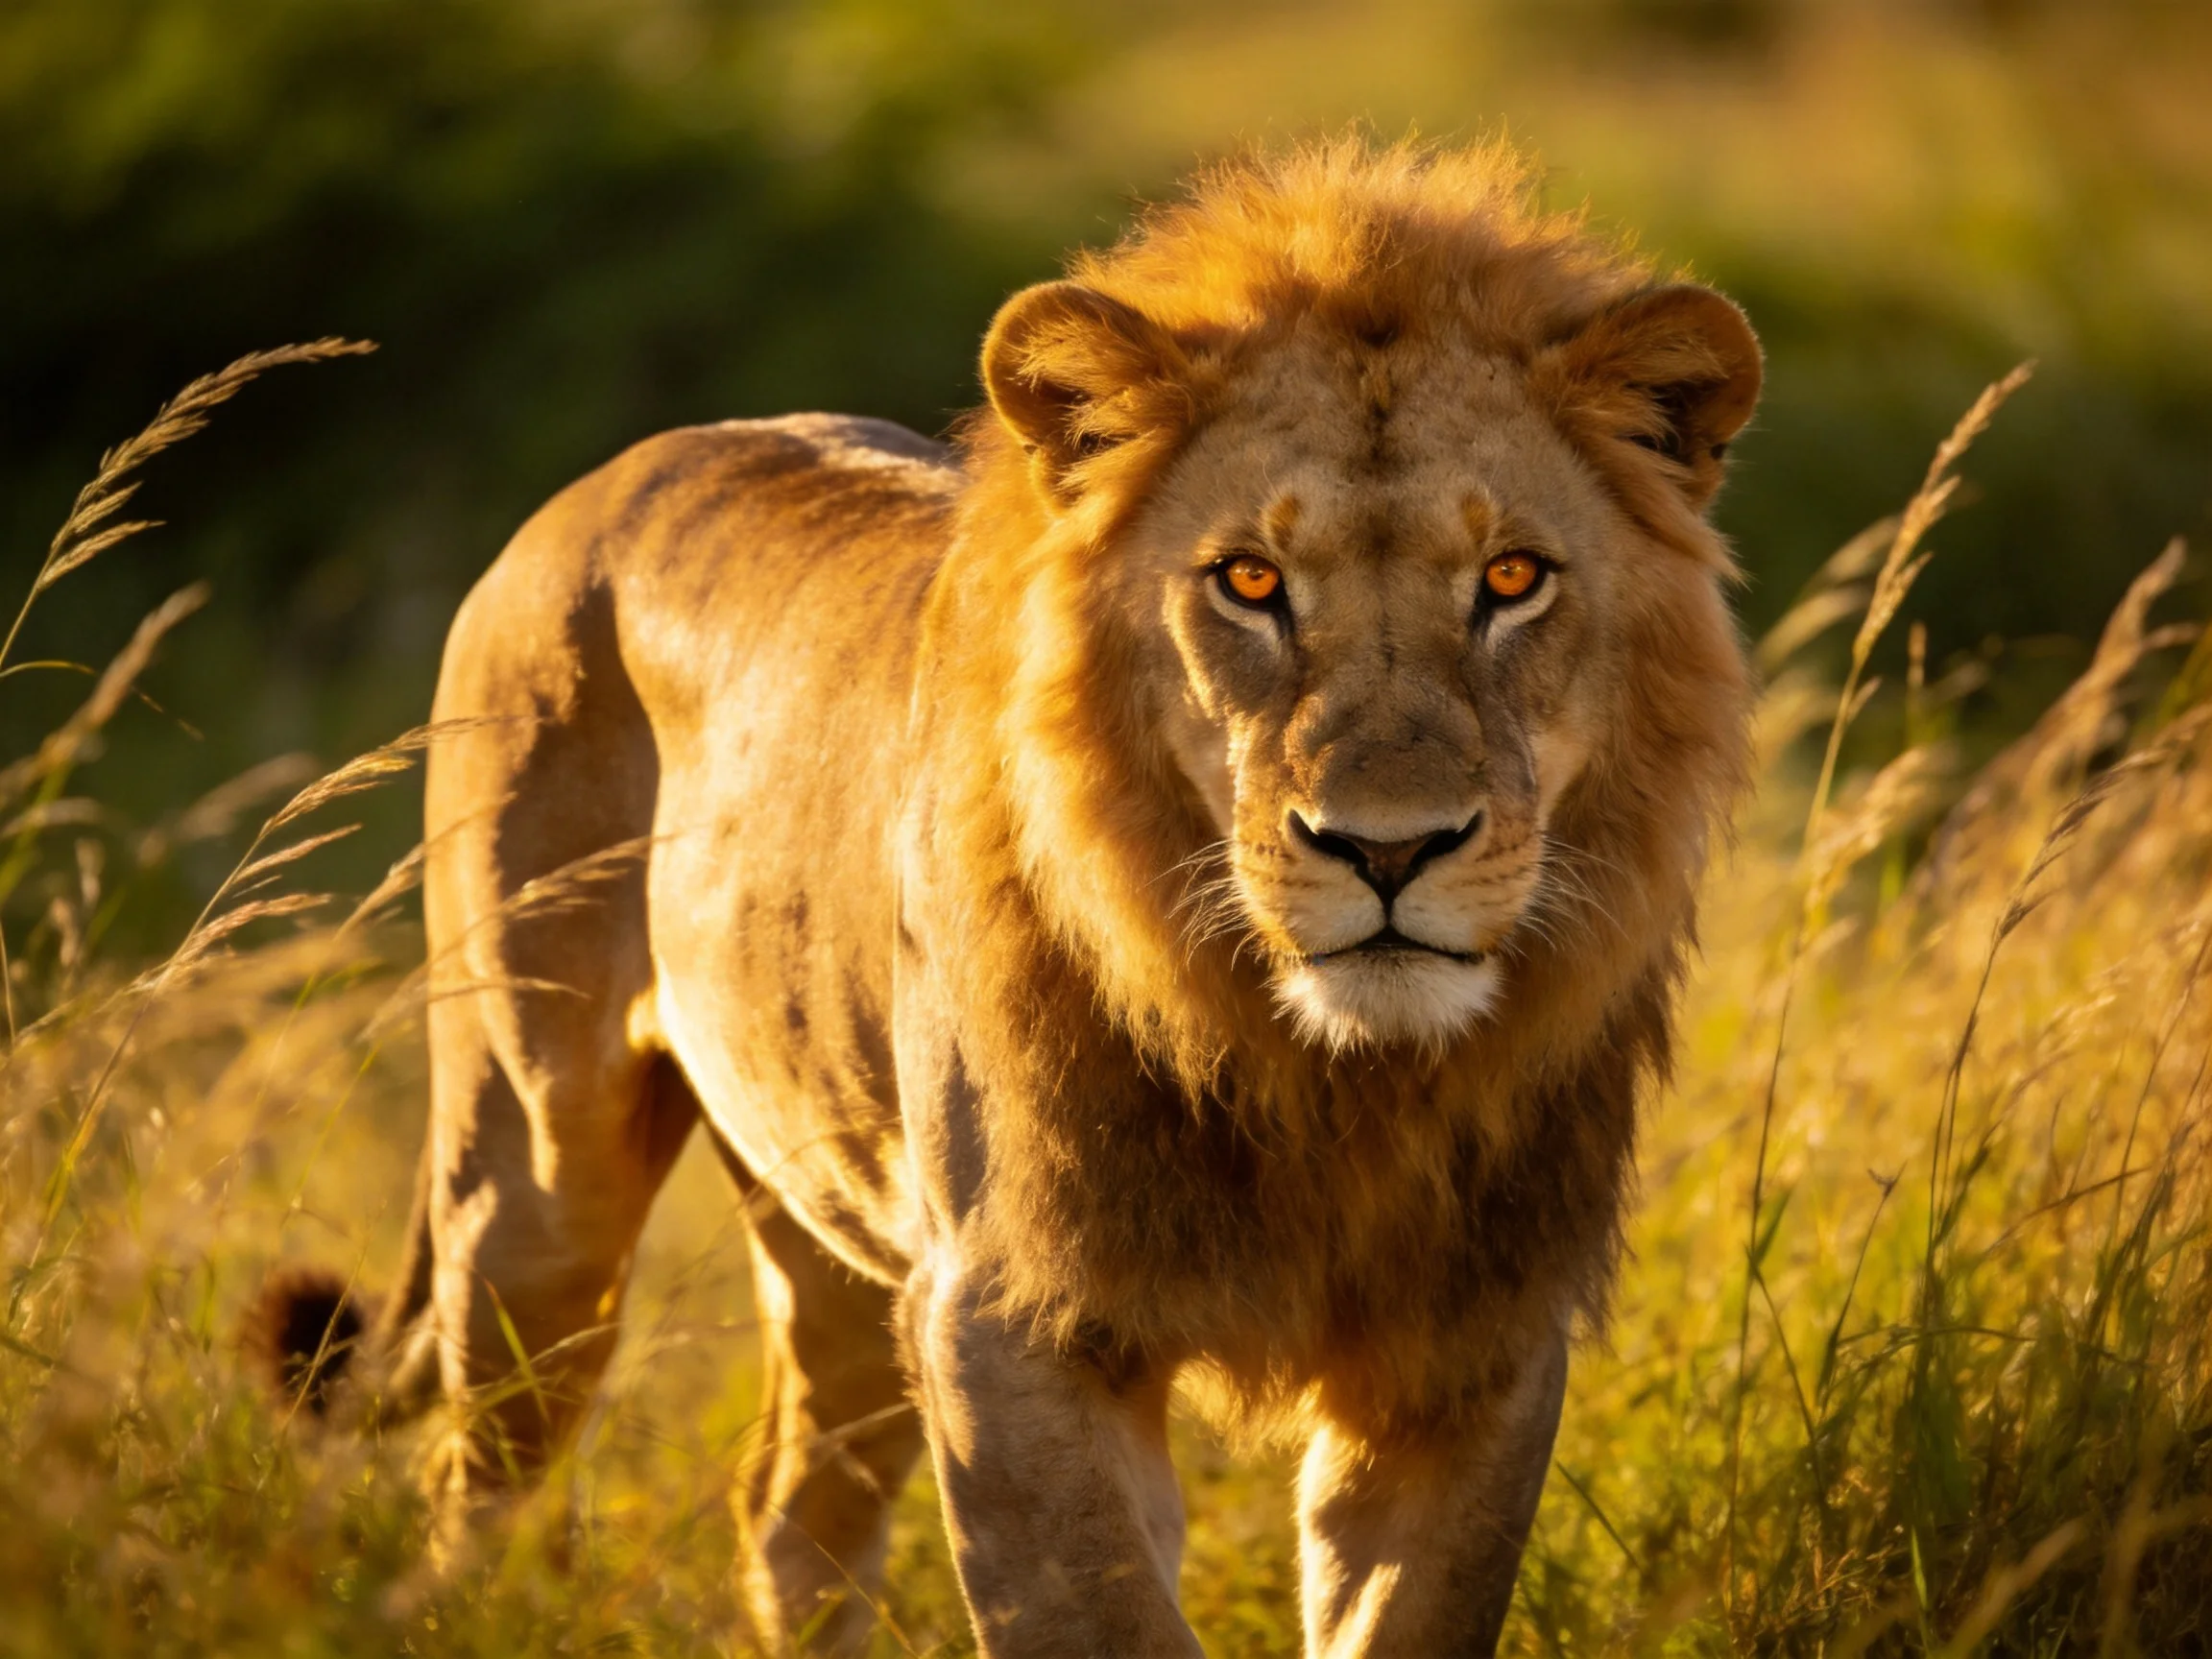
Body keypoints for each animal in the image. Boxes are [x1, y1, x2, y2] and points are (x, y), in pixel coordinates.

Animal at [256, 138, 1759, 1656]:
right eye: (1250, 581)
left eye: (1512, 578)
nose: (1387, 851)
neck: (1333, 1078)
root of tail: (610, 474)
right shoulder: (1010, 1318)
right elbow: (1104, 1621)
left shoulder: (1477, 1347)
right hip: (531, 1174)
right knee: (476, 1492)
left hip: (837, 1209)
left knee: (792, 1514)